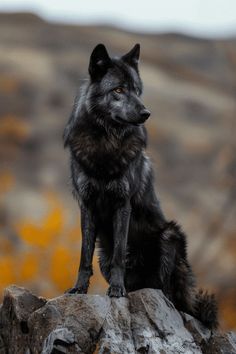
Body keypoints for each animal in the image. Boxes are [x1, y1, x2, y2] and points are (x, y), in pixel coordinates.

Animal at [63, 43, 218, 330]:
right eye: (119, 90)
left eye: (137, 90)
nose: (146, 113)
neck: (105, 145)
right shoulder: (86, 206)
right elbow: (84, 255)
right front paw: (78, 288)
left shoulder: (122, 205)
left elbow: (120, 255)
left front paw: (116, 290)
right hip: (104, 256)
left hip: (170, 237)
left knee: (167, 293)